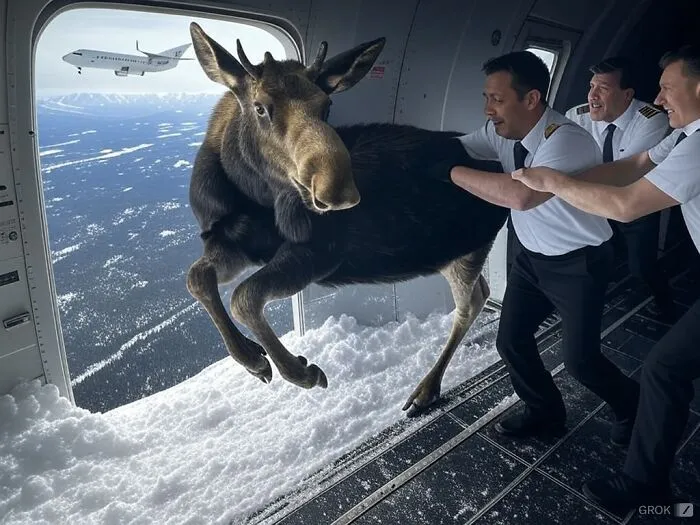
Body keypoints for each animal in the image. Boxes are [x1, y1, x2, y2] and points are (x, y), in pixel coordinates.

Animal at [185, 22, 508, 417]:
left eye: (327, 106)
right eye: (260, 108)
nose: (338, 190)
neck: (251, 194)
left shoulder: (322, 252)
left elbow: (244, 296)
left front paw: (298, 370)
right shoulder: (228, 240)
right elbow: (198, 277)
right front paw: (252, 358)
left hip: (468, 246)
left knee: (470, 303)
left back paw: (426, 388)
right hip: (453, 251)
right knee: (480, 293)